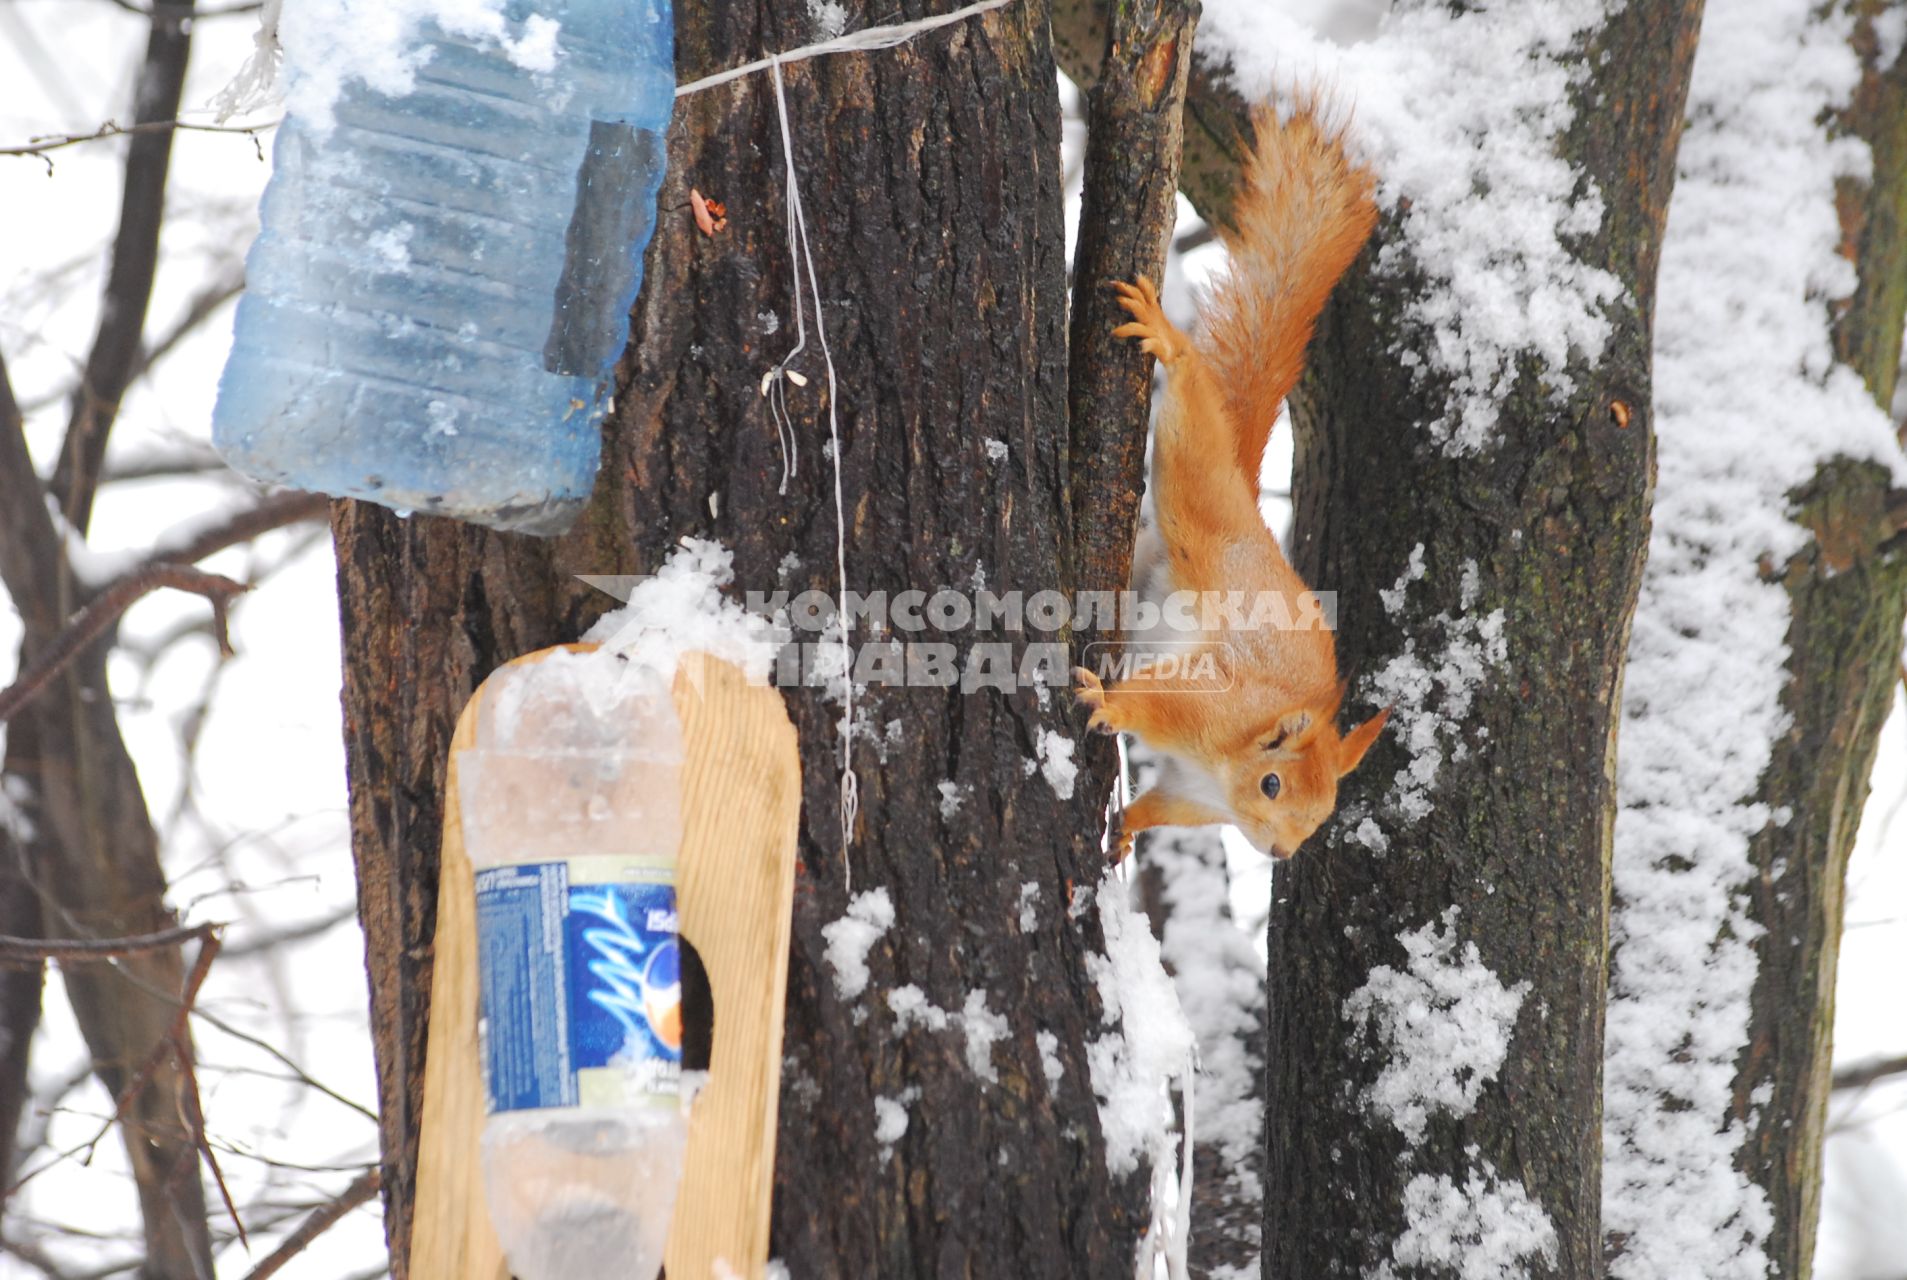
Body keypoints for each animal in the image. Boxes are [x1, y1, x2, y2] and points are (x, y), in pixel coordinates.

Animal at [1083, 107, 1395, 862]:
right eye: (1272, 785)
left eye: (1322, 817)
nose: (1280, 855)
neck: (1224, 772)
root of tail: (1251, 515)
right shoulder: (1214, 708)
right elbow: (1156, 705)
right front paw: (1109, 703)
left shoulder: (1192, 797)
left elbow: (1161, 806)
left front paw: (1127, 828)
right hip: (1200, 509)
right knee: (1190, 442)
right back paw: (1169, 343)